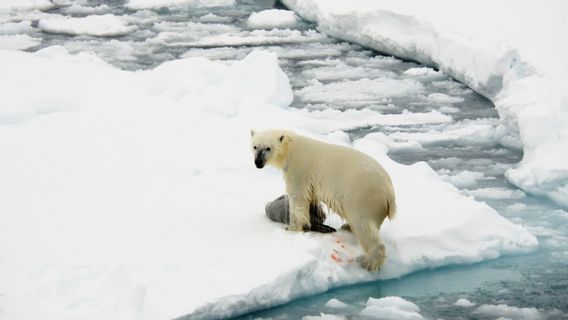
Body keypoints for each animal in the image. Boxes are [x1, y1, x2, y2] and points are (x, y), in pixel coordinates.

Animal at [251, 129, 398, 272]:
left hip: (364, 197)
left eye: (268, 148)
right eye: (255, 146)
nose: (258, 162)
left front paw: (292, 228)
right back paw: (347, 227)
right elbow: (311, 197)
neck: (291, 147)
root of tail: (390, 194)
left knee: (364, 225)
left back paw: (368, 262)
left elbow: (298, 198)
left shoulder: (299, 169)